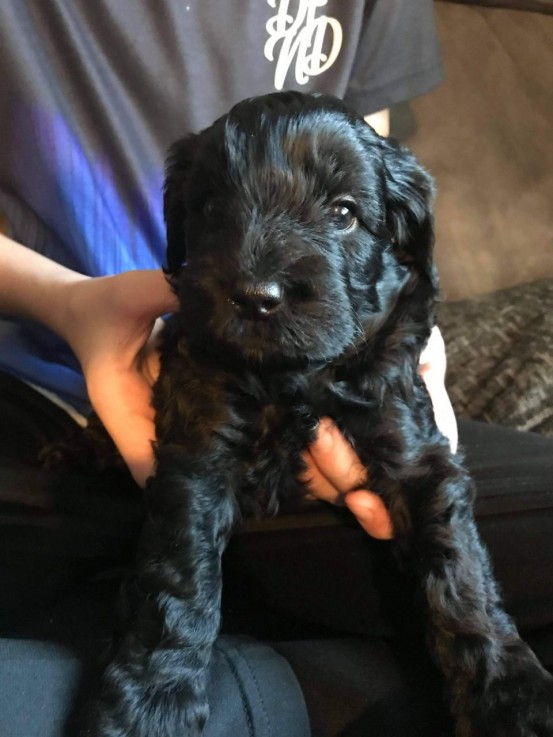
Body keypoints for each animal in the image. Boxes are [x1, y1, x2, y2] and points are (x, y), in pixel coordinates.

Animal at [81, 92, 552, 736]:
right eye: (210, 207)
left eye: (345, 213)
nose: (256, 297)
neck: (296, 374)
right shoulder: (200, 448)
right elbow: (179, 575)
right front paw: (152, 700)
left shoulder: (410, 439)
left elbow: (461, 574)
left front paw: (510, 695)